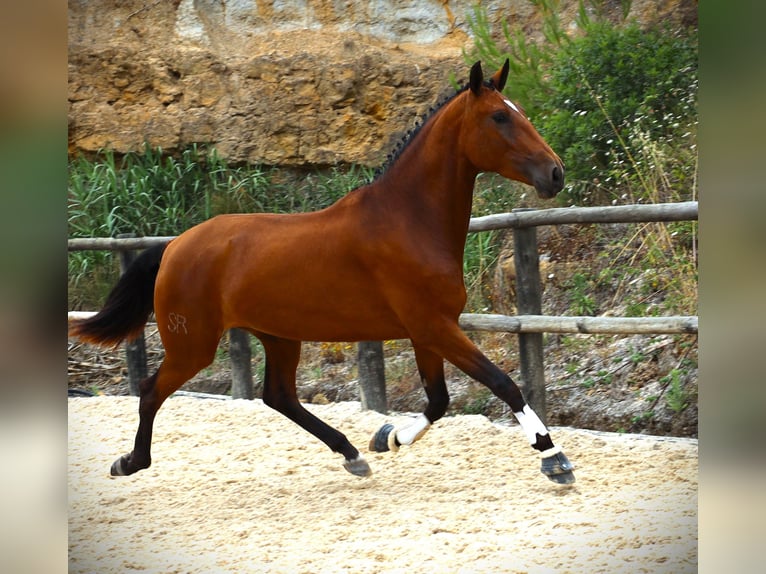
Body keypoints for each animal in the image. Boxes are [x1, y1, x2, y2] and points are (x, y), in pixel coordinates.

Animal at [70, 60, 576, 486]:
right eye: (500, 118)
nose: (555, 174)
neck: (410, 220)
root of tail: (175, 245)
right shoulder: (434, 326)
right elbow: (502, 383)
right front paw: (553, 457)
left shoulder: (427, 330)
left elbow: (438, 400)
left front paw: (388, 437)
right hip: (193, 344)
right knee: (152, 389)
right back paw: (129, 462)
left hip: (278, 334)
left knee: (278, 396)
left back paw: (353, 454)